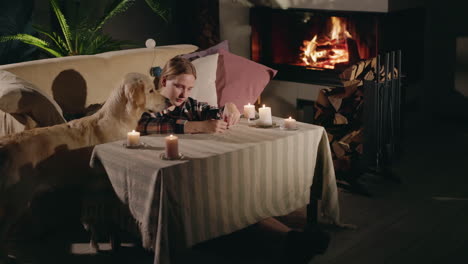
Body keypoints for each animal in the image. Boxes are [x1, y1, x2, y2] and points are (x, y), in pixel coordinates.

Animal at [0, 71, 166, 254]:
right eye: (151, 90)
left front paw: (96, 242)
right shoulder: (107, 186)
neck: (118, 120)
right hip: (15, 202)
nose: (168, 101)